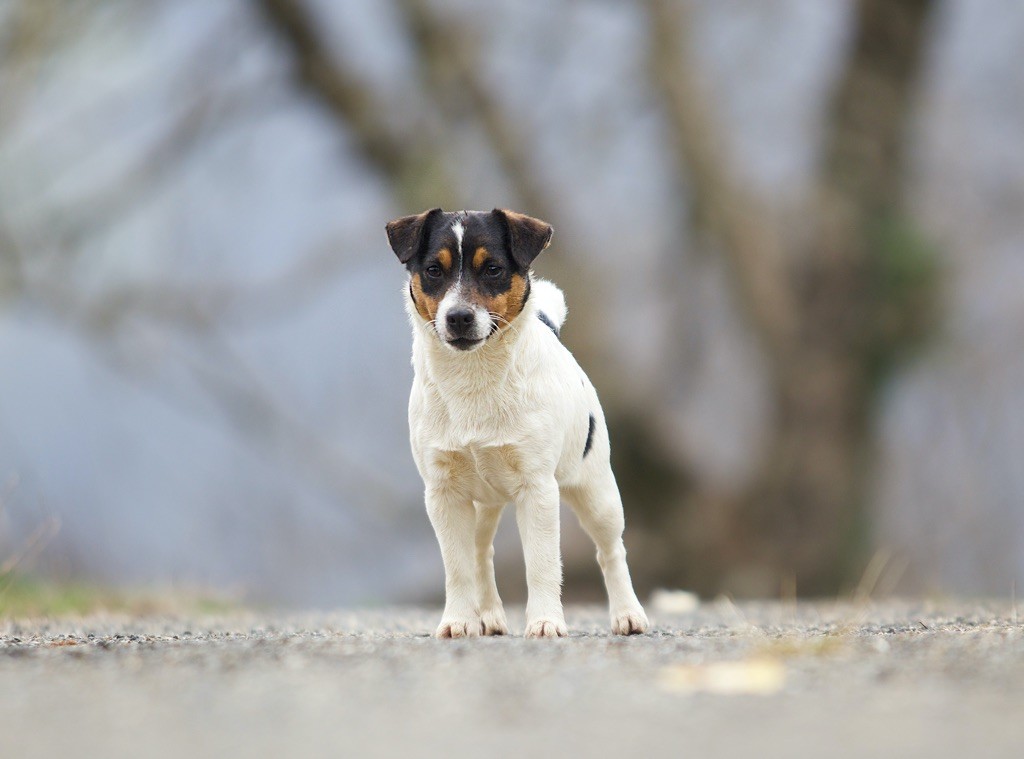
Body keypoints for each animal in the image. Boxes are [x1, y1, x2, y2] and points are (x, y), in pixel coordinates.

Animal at [385, 209, 647, 635]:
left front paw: (545, 622)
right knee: (480, 552)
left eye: (492, 269)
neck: (474, 380)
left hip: (598, 494)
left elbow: (541, 563)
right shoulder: (443, 494)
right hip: (482, 504)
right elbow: (457, 567)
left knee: (611, 551)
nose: (458, 317)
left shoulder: (537, 489)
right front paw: (458, 621)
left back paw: (628, 614)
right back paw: (487, 616)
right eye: (433, 270)